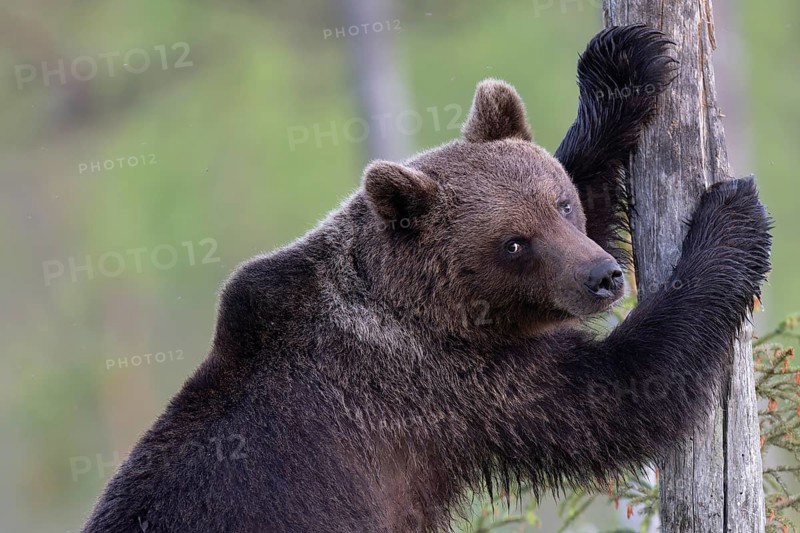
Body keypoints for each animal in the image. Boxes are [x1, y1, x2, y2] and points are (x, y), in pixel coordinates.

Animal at [81, 25, 772, 533]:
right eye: (513, 243)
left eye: (561, 204)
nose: (602, 278)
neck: (423, 308)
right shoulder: (444, 387)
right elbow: (625, 393)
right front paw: (732, 221)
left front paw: (624, 65)